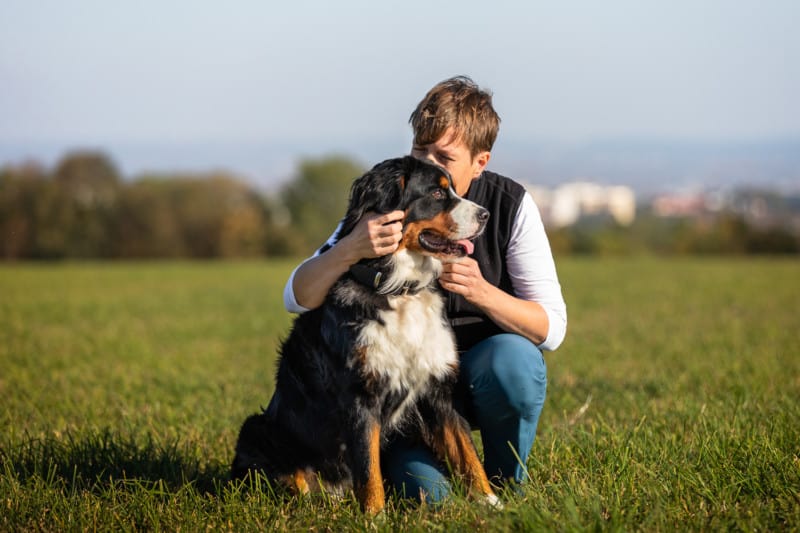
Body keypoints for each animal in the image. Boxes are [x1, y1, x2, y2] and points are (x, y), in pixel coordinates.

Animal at [228, 154, 496, 512]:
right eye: (438, 194)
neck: (399, 290)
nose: (485, 215)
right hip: (255, 430)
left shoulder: (437, 389)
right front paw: (374, 515)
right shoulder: (359, 395)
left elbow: (466, 451)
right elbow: (369, 467)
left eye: (452, 188)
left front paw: (493, 503)